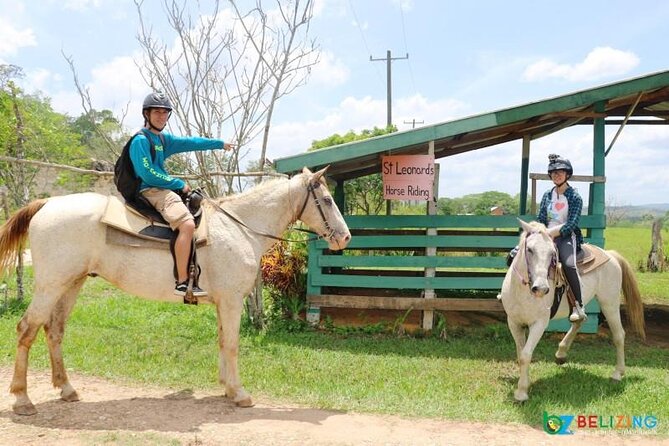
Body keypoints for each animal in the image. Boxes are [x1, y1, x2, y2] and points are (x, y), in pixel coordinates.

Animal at [0, 166, 352, 414]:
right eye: (327, 200)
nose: (345, 237)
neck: (238, 227)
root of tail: (47, 204)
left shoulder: (222, 302)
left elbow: (222, 342)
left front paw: (226, 387)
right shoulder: (232, 301)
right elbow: (232, 344)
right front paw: (239, 394)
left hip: (71, 284)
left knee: (54, 330)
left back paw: (67, 390)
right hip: (51, 286)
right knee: (26, 330)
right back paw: (22, 399)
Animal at [498, 221, 644, 402]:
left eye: (553, 253)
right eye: (530, 249)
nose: (541, 288)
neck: (522, 292)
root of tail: (610, 255)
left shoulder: (539, 324)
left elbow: (525, 355)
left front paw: (521, 393)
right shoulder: (514, 322)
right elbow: (520, 354)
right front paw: (524, 384)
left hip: (609, 303)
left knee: (619, 335)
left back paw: (617, 373)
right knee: (580, 319)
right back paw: (561, 353)